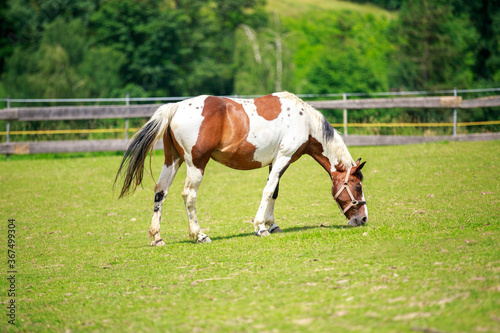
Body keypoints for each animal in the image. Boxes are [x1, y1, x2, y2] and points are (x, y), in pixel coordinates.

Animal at [114, 91, 368, 244]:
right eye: (357, 186)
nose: (363, 219)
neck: (303, 120)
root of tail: (176, 107)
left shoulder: (275, 162)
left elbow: (274, 192)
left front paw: (272, 224)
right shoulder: (283, 158)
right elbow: (268, 191)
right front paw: (260, 227)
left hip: (172, 160)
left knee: (160, 191)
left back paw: (157, 238)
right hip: (196, 164)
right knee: (189, 195)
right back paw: (199, 234)